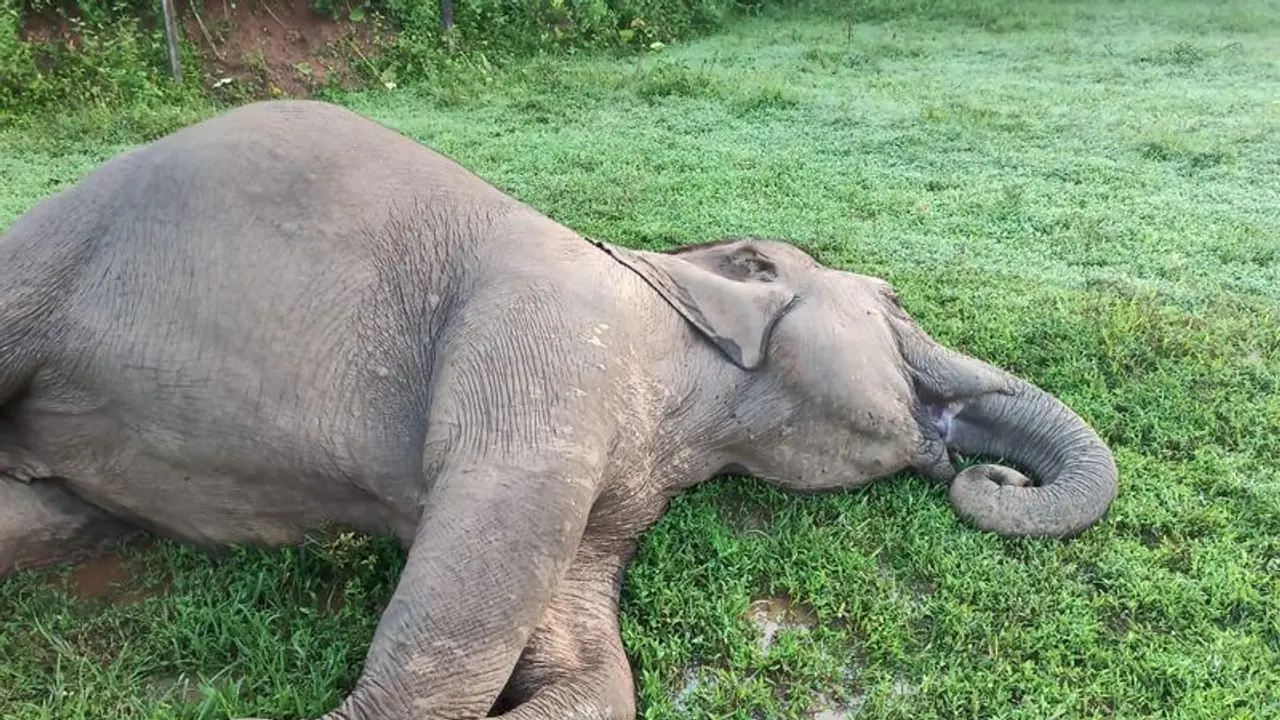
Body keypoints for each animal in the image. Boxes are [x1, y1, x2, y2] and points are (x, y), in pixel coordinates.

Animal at [0, 99, 1118, 719]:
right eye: (894, 304)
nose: (985, 470)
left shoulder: (611, 475)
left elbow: (593, 670)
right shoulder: (544, 349)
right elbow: (446, 670)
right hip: (46, 258)